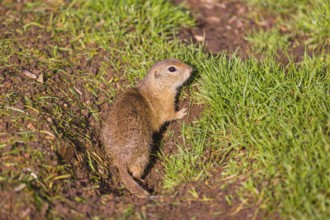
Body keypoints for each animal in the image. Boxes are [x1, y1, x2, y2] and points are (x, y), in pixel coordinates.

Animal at [102, 58, 192, 198]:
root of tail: (119, 159)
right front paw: (181, 112)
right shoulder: (166, 104)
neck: (155, 87)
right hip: (143, 155)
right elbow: (170, 114)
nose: (191, 69)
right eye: (172, 69)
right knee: (136, 172)